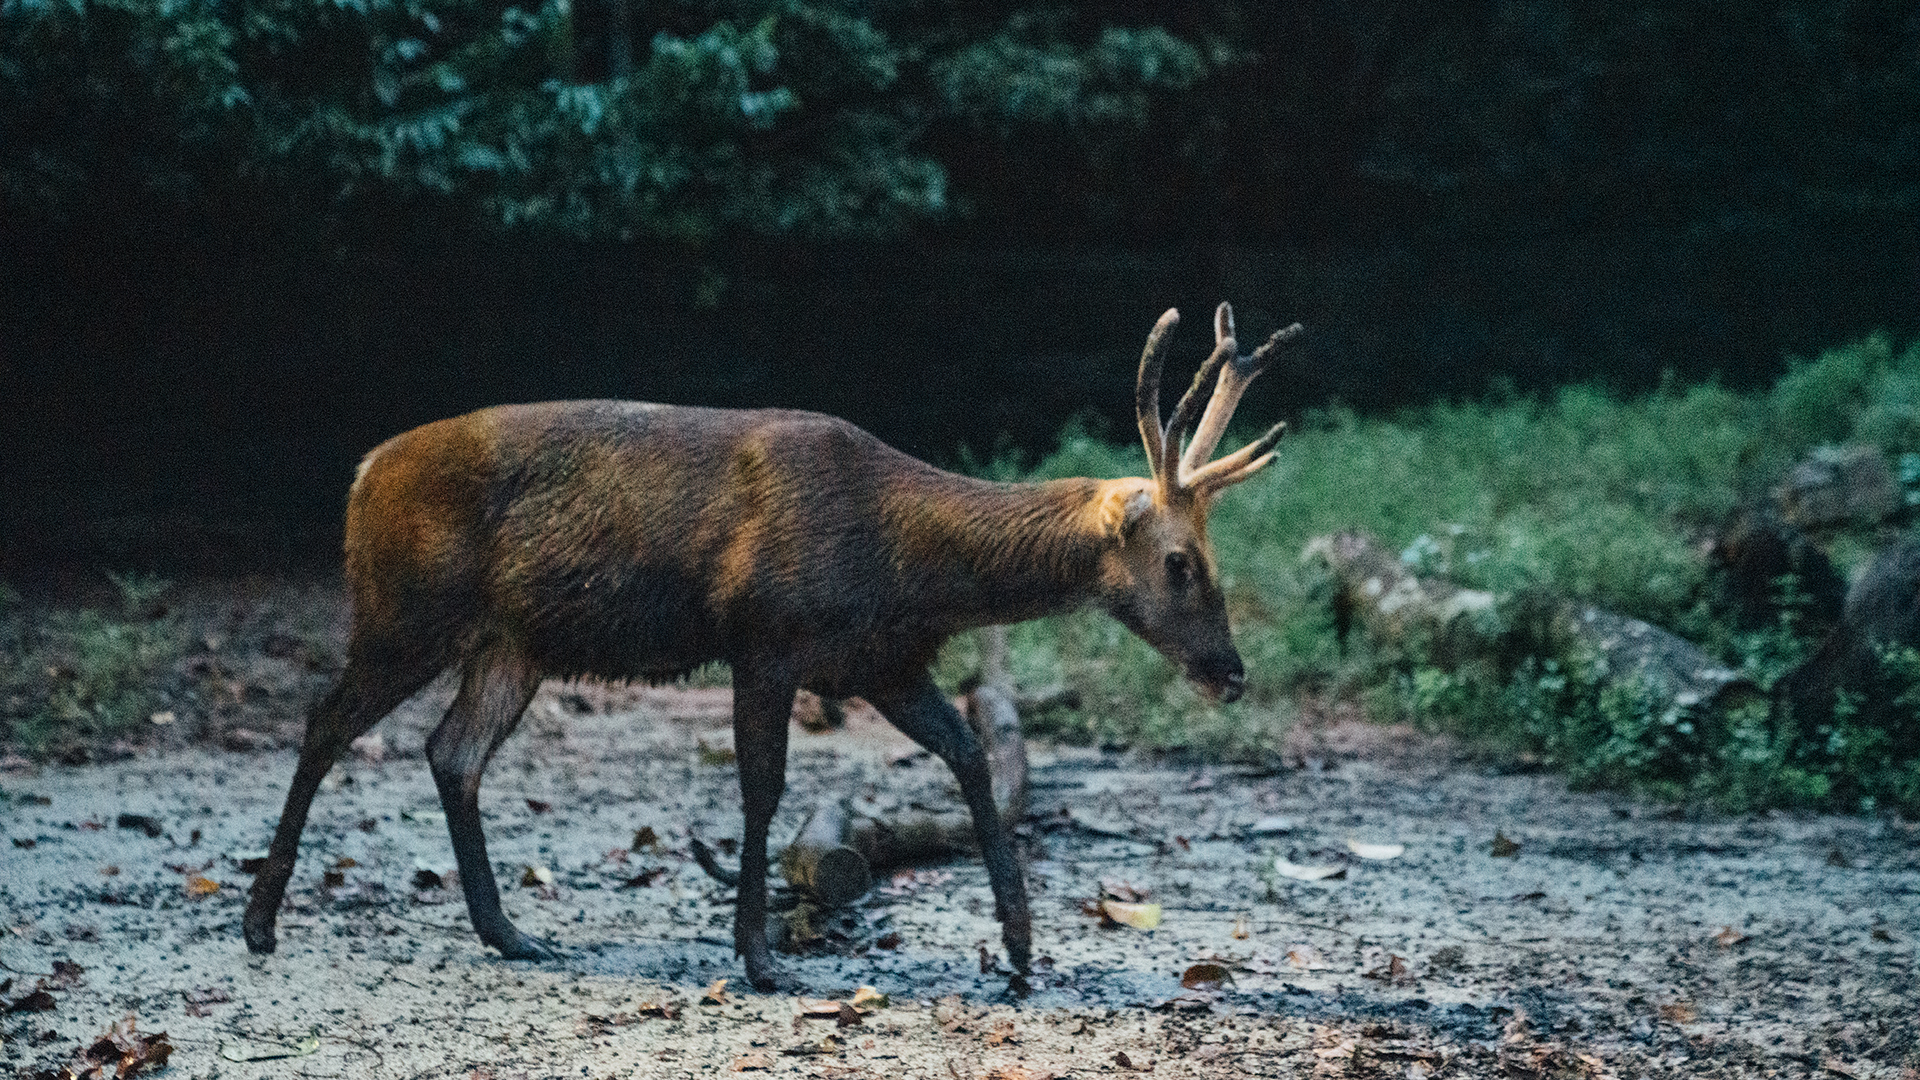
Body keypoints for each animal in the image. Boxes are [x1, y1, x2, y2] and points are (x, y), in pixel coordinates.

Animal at [236, 297, 1290, 991]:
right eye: (1181, 563)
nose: (1232, 673)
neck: (906, 564)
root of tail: (363, 475)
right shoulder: (767, 636)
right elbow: (764, 788)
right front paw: (758, 957)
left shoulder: (881, 662)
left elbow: (967, 753)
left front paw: (1024, 947)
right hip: (404, 609)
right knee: (324, 722)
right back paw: (259, 923)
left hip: (512, 643)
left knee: (451, 751)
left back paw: (511, 933)